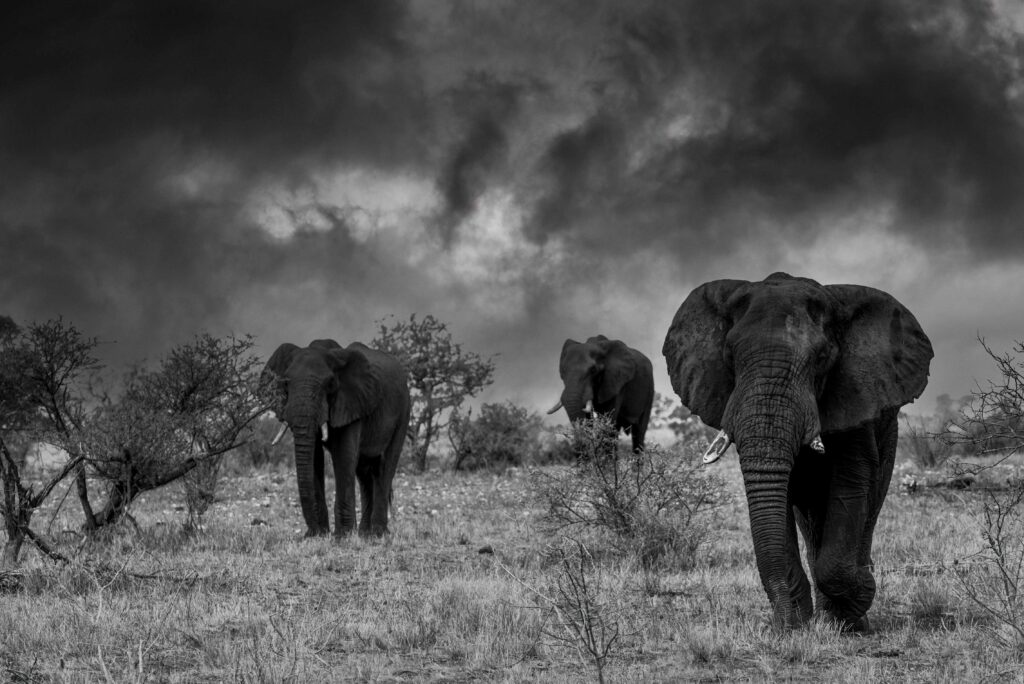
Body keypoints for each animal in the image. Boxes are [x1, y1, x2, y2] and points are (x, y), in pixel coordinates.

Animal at [260, 339, 411, 536]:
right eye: (285, 383)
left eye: (330, 384)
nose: (312, 531)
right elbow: (314, 457)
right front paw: (317, 536)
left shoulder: (351, 403)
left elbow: (343, 456)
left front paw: (342, 537)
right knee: (364, 471)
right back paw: (364, 534)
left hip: (403, 411)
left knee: (386, 465)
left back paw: (378, 534)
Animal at [659, 272, 933, 630]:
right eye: (730, 355)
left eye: (821, 358)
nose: (781, 624)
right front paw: (795, 624)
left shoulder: (853, 395)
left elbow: (851, 485)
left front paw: (856, 598)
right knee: (812, 520)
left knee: (868, 508)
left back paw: (850, 616)